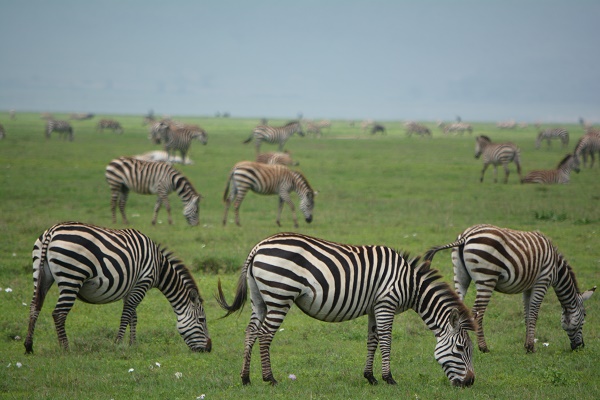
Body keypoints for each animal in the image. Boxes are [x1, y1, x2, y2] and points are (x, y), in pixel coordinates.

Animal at [24, 222, 212, 354]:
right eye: (202, 320)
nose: (209, 349)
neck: (158, 267)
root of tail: (51, 231)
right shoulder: (142, 283)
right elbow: (126, 315)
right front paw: (118, 344)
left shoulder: (132, 287)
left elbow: (133, 316)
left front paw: (133, 344)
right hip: (72, 276)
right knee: (59, 314)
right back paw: (66, 348)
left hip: (41, 274)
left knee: (34, 306)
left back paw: (28, 346)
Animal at [218, 233, 476, 386]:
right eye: (461, 348)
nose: (471, 382)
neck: (410, 284)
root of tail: (258, 247)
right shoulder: (386, 303)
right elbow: (386, 341)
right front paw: (389, 378)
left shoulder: (374, 307)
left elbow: (372, 341)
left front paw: (370, 377)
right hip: (280, 295)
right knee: (265, 335)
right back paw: (269, 378)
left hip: (260, 298)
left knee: (251, 332)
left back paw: (246, 378)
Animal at [424, 225, 596, 354]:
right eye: (585, 315)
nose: (580, 347)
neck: (557, 268)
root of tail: (465, 236)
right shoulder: (542, 281)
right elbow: (534, 314)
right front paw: (531, 347)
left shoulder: (529, 287)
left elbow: (527, 315)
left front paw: (527, 345)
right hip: (487, 278)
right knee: (478, 312)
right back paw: (483, 347)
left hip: (460, 275)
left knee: (457, 307)